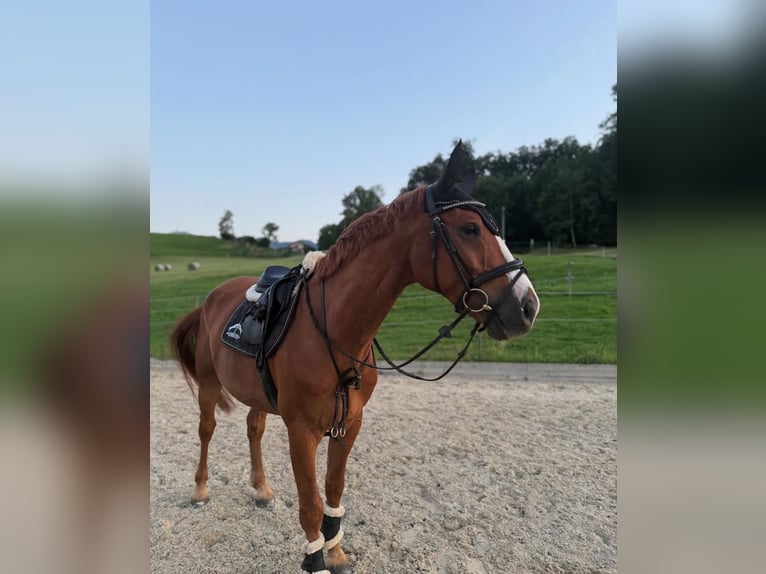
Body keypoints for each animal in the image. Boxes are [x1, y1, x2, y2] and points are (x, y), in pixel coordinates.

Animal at [170, 142, 540, 574]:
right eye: (469, 228)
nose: (527, 306)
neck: (334, 328)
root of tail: (211, 298)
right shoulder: (301, 432)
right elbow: (311, 505)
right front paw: (315, 560)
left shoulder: (349, 424)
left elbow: (333, 490)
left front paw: (335, 552)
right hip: (210, 382)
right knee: (207, 429)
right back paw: (200, 489)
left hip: (255, 392)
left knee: (253, 429)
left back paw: (261, 489)